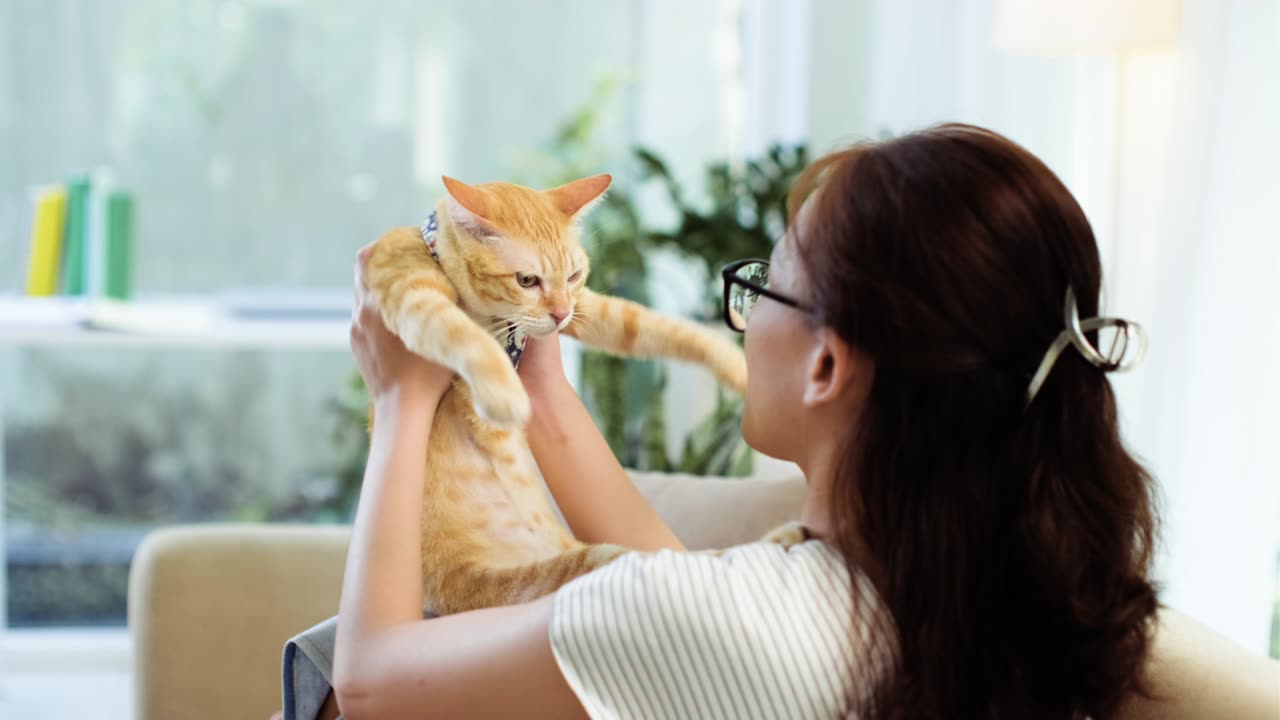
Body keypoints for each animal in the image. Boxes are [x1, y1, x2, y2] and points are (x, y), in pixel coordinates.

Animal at [363, 172, 747, 609]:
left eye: (574, 276)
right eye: (527, 280)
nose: (561, 315)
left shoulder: (589, 308)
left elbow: (654, 326)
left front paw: (736, 363)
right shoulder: (410, 291)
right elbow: (455, 329)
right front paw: (504, 394)